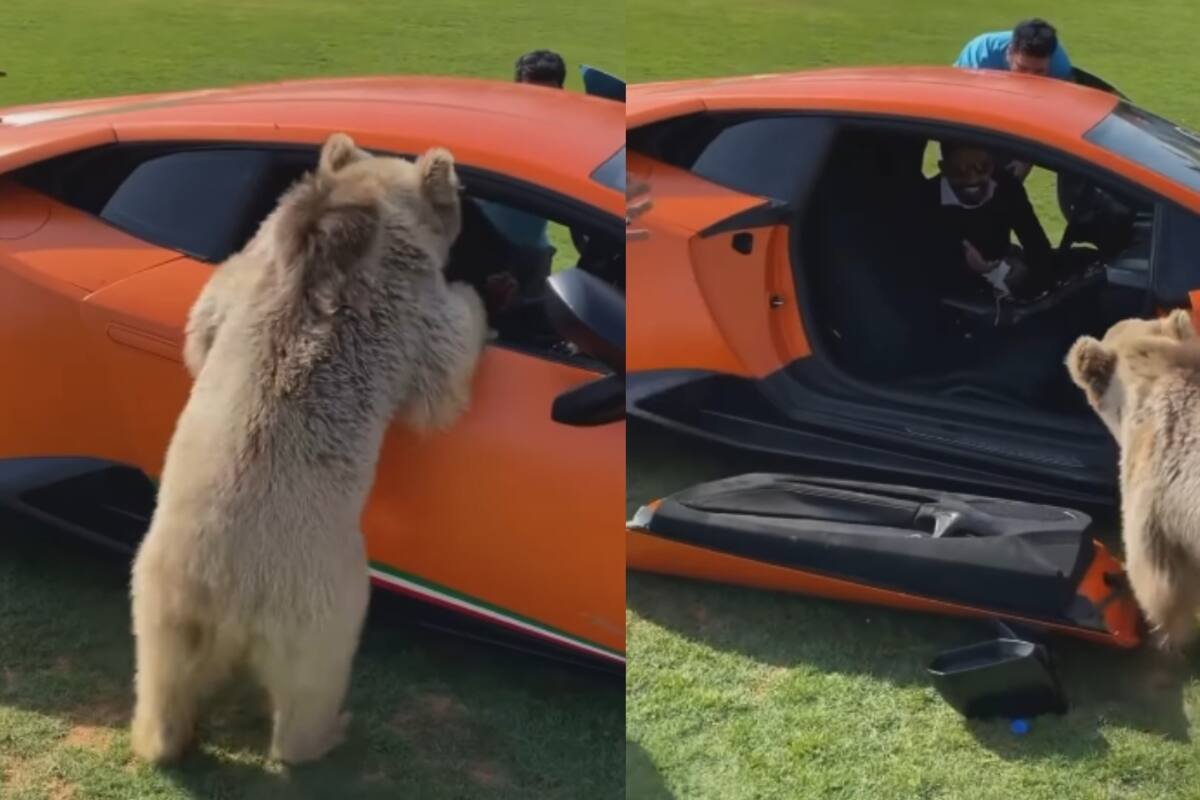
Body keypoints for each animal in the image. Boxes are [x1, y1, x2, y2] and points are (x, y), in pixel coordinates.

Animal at [129, 132, 489, 765]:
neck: (361, 211)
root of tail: (227, 596)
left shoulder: (256, 263)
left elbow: (205, 320)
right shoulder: (404, 302)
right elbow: (440, 373)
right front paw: (475, 299)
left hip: (159, 595)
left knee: (161, 675)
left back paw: (160, 737)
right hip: (318, 599)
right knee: (313, 682)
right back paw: (326, 733)